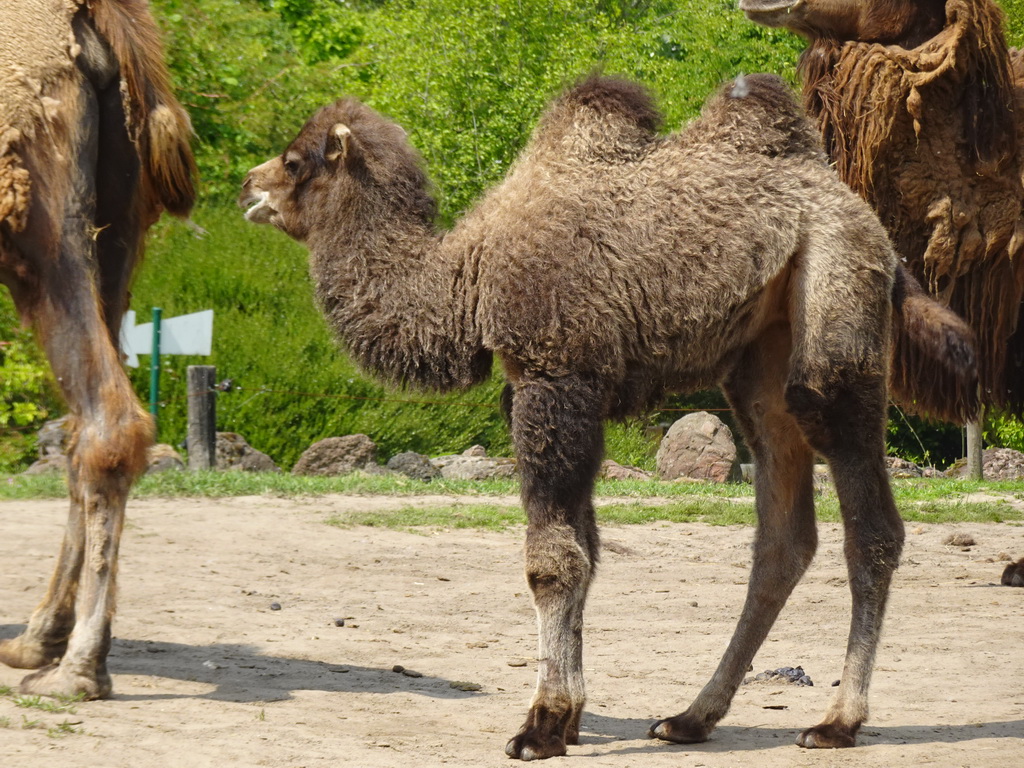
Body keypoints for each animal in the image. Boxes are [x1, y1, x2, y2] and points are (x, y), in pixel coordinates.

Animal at [0, 0, 194, 700]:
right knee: (87, 429)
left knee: (107, 419)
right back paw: (41, 640)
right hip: (119, 228)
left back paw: (77, 668)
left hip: (35, 221)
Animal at [237, 75, 974, 761]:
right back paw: (690, 718)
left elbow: (552, 561)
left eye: (296, 160)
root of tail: (870, 223)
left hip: (836, 303)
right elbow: (586, 550)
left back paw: (837, 722)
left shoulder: (553, 377)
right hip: (759, 358)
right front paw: (569, 717)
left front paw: (539, 726)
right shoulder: (563, 394)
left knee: (868, 519)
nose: (249, 184)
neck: (464, 279)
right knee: (782, 535)